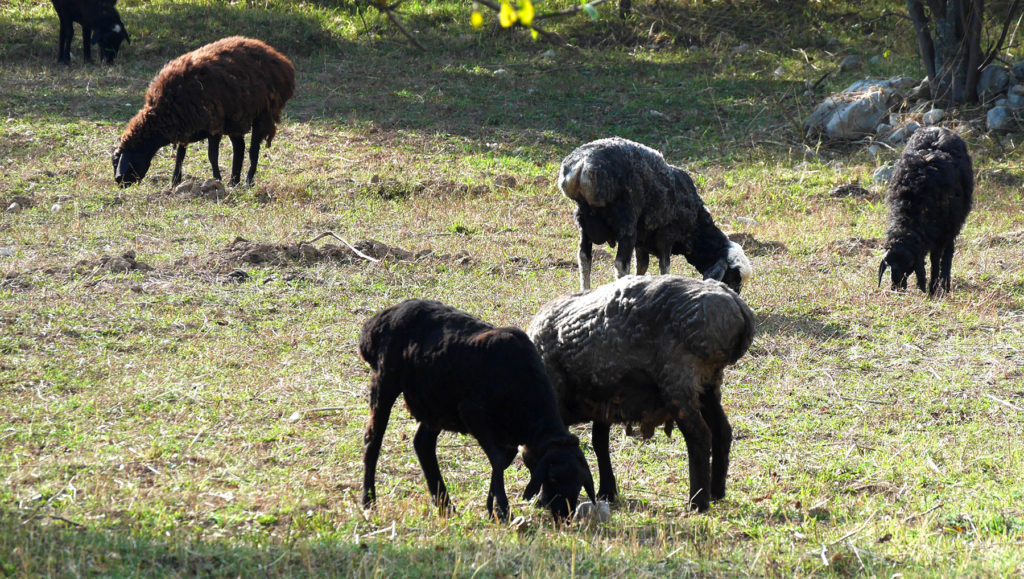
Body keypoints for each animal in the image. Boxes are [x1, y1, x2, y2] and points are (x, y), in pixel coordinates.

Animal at [113, 35, 294, 187]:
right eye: (115, 161)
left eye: (129, 159)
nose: (119, 181)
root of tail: (282, 61)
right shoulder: (185, 126)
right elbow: (180, 155)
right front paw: (175, 181)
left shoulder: (213, 124)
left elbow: (212, 155)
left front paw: (217, 179)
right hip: (234, 119)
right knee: (239, 148)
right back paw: (234, 181)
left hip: (262, 114)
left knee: (253, 150)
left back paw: (247, 181)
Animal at [360, 301, 598, 520]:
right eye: (554, 478)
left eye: (579, 483)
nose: (563, 515)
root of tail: (378, 320)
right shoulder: (472, 413)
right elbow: (498, 459)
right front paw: (502, 510)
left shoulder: (506, 434)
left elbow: (503, 461)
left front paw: (492, 507)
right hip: (385, 380)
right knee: (373, 439)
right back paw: (369, 503)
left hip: (436, 401)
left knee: (423, 443)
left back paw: (445, 505)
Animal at [528, 274, 753, 510]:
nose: (546, 504)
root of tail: (734, 303)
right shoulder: (605, 399)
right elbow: (600, 442)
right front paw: (607, 491)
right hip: (708, 385)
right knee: (722, 431)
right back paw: (717, 491)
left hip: (679, 385)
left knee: (699, 436)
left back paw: (697, 501)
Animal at [561, 136, 753, 293]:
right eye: (732, 278)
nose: (734, 297)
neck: (696, 227)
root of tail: (583, 164)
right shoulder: (666, 237)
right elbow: (664, 268)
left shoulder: (642, 243)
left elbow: (642, 267)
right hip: (626, 223)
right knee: (621, 265)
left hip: (584, 221)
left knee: (584, 258)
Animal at [876, 125, 970, 293]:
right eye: (889, 266)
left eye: (908, 266)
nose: (896, 288)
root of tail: (939, 129)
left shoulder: (940, 235)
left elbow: (935, 260)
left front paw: (933, 288)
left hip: (953, 224)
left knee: (948, 253)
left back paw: (945, 284)